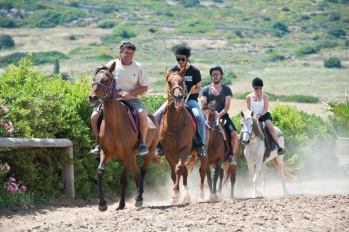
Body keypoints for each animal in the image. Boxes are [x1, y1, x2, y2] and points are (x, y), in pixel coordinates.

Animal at [87, 61, 160, 210]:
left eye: (107, 80)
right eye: (94, 79)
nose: (92, 98)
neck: (115, 125)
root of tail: (152, 117)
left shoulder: (126, 155)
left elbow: (123, 180)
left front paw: (121, 204)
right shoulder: (106, 153)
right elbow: (99, 172)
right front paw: (102, 203)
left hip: (148, 152)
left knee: (143, 172)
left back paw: (138, 197)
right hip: (132, 157)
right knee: (137, 174)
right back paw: (139, 199)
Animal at [160, 67, 207, 203]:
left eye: (182, 81)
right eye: (169, 81)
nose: (178, 97)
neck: (175, 124)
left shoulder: (185, 148)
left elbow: (179, 169)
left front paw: (176, 193)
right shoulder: (169, 151)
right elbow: (174, 171)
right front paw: (177, 193)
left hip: (202, 153)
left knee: (202, 171)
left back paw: (201, 195)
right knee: (185, 171)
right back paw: (186, 192)